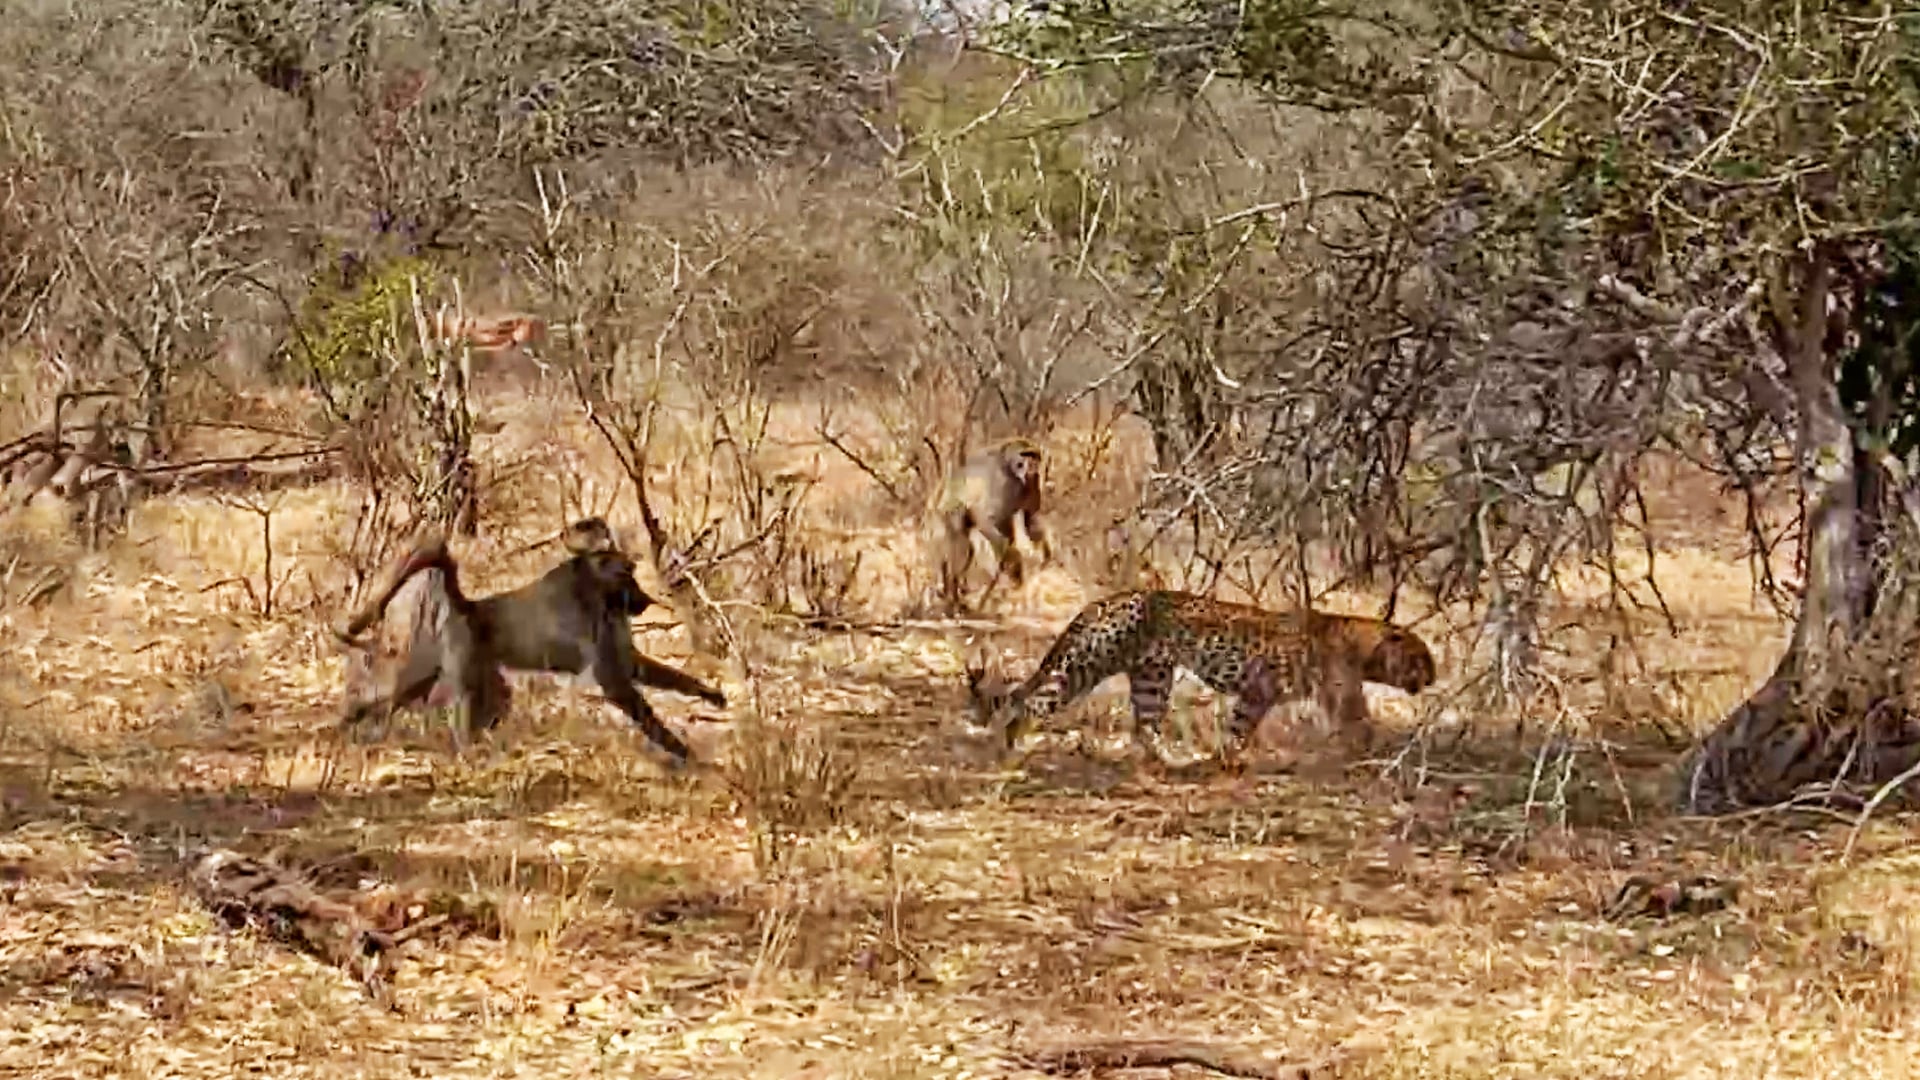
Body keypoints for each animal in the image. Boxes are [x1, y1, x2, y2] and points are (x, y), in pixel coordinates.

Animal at [964, 589, 1438, 769]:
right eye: (1422, 658)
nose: (1434, 678)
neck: (1366, 645)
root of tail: (1106, 600)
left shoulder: (1261, 690)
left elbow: (1240, 725)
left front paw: (1227, 758)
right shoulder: (1329, 692)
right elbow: (1361, 725)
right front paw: (1371, 758)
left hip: (1152, 676)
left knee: (1145, 724)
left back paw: (1169, 761)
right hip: (1088, 662)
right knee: (1031, 702)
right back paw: (1009, 749)